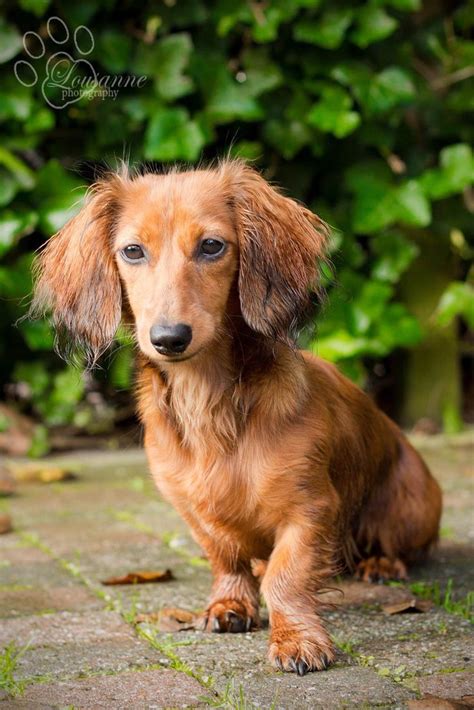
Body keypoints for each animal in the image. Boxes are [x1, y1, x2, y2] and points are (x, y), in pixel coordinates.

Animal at [32, 163, 440, 680]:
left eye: (211, 246)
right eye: (132, 250)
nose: (168, 337)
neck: (209, 400)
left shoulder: (311, 508)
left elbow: (288, 576)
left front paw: (296, 639)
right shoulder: (194, 511)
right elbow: (226, 557)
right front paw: (230, 604)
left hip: (408, 510)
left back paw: (382, 563)